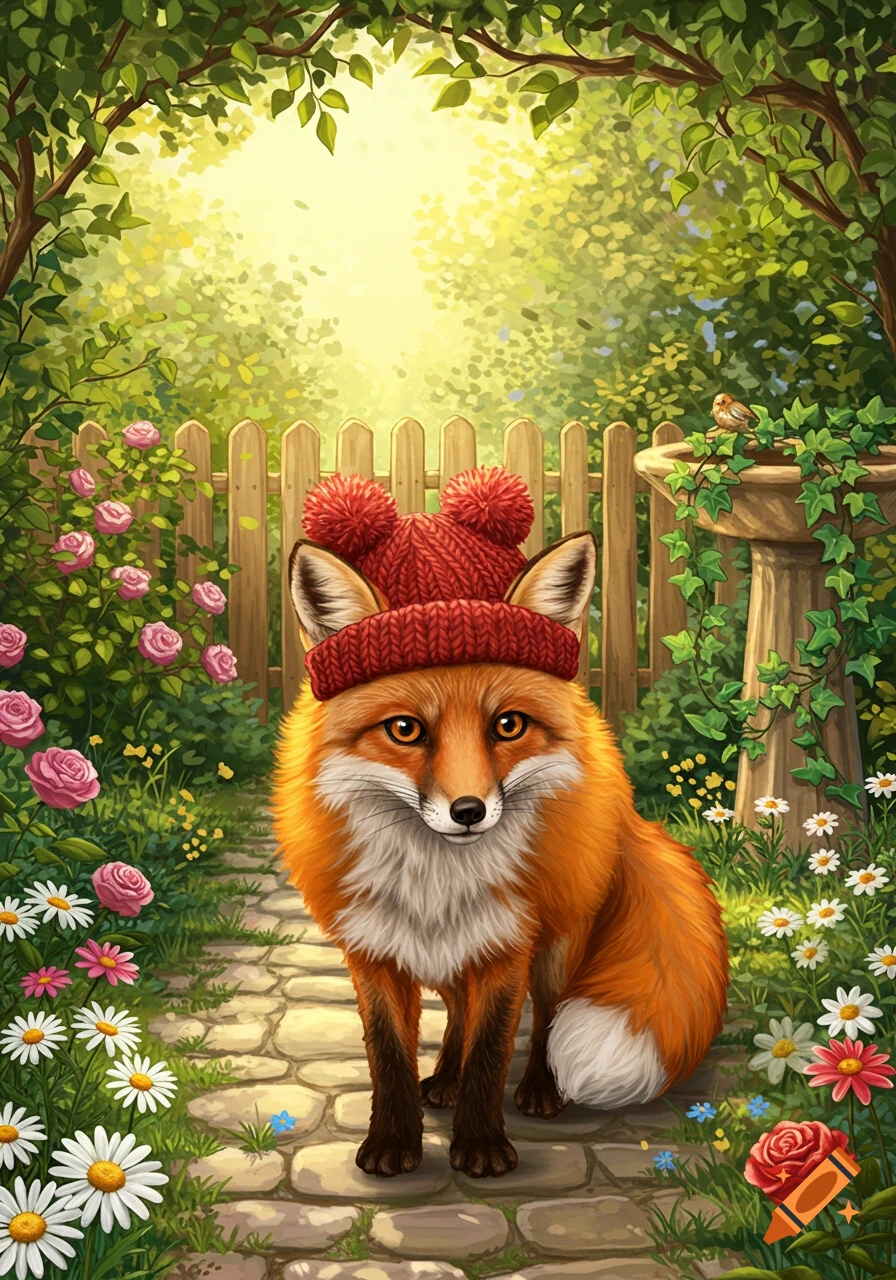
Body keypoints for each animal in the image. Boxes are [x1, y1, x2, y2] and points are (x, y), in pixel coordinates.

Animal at [272, 523, 729, 1180]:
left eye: (508, 725)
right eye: (405, 730)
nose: (469, 812)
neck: (435, 882)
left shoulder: (510, 946)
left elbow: (491, 1049)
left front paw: (483, 1145)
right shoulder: (374, 951)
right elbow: (389, 1055)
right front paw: (393, 1141)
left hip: (558, 944)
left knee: (546, 1018)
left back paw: (539, 1089)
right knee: (458, 1013)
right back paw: (443, 1081)